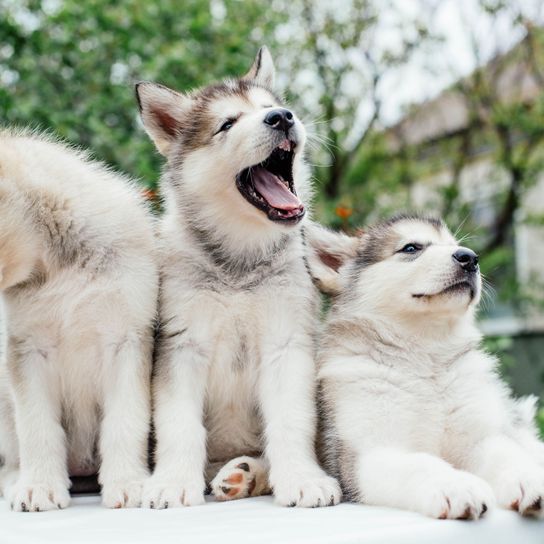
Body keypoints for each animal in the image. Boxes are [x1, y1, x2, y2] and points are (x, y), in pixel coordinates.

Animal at [0, 131, 157, 510]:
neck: (58, 265)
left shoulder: (126, 340)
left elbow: (125, 421)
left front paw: (128, 483)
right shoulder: (28, 349)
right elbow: (37, 427)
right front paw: (39, 486)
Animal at [136, 47, 340, 510]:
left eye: (269, 107)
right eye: (227, 123)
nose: (282, 117)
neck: (239, 261)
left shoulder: (286, 345)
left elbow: (290, 422)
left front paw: (302, 478)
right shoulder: (181, 346)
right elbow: (180, 425)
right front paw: (172, 482)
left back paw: (245, 473)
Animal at [312, 215, 544, 520]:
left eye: (455, 245)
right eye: (411, 248)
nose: (470, 258)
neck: (425, 356)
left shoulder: (481, 437)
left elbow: (506, 454)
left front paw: (529, 477)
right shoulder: (370, 453)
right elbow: (420, 464)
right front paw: (456, 485)